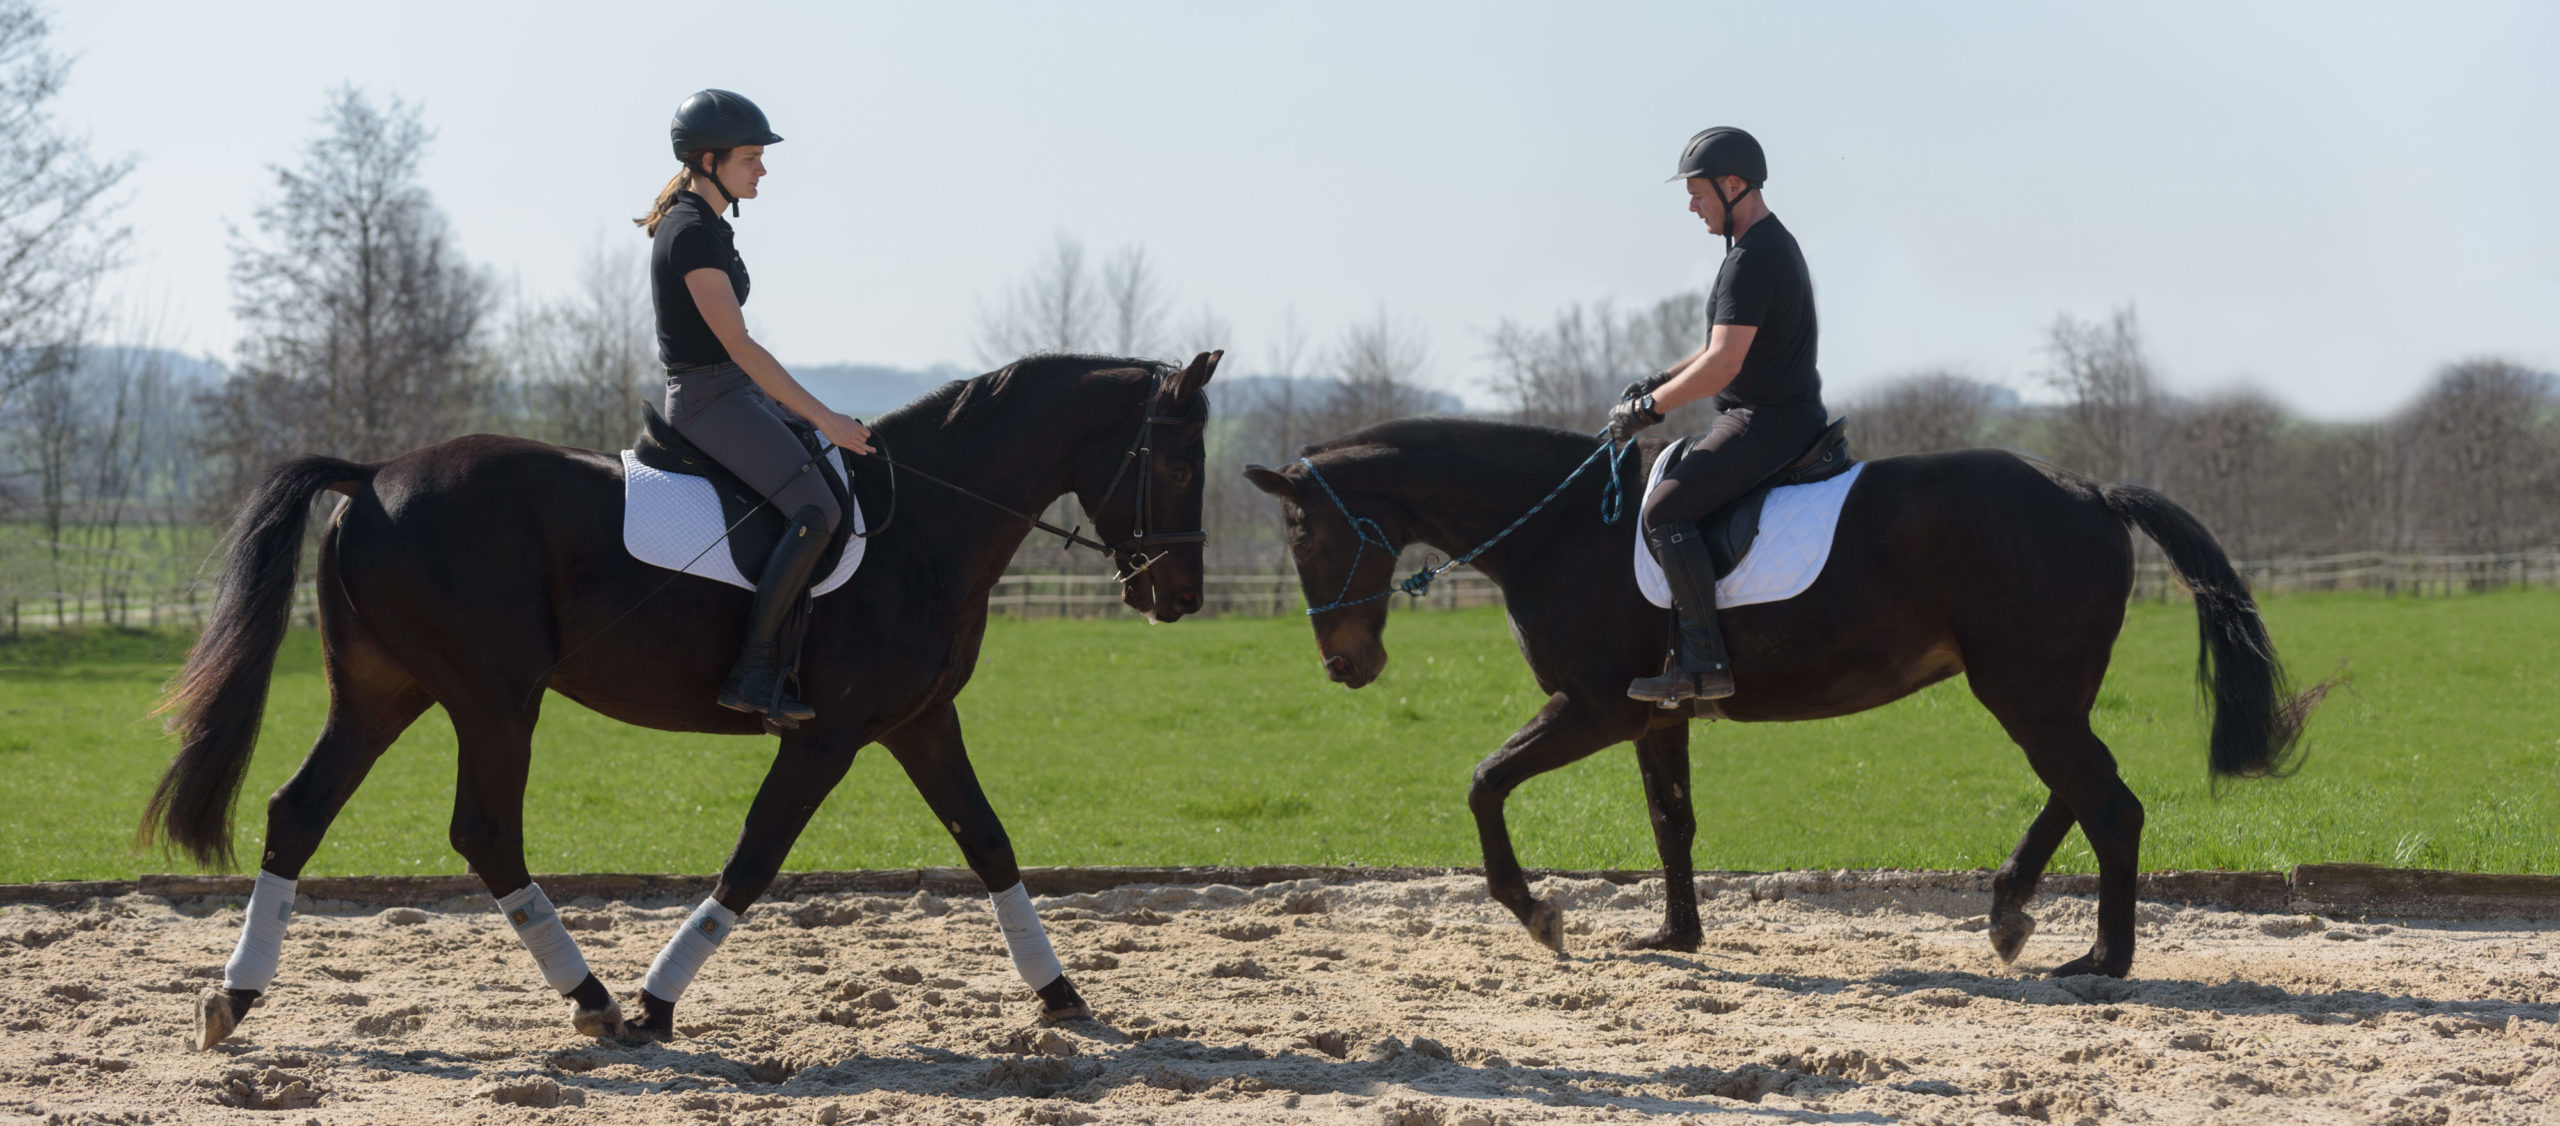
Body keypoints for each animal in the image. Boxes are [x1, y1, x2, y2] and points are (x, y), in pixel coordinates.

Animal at [154, 353, 1223, 1049]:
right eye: (1175, 462)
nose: (1180, 596)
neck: (926, 522)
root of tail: (373, 476)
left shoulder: (919, 722)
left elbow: (990, 843)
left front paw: (1062, 994)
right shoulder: (829, 734)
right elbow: (756, 857)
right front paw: (657, 1003)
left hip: (384, 693)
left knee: (299, 812)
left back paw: (234, 998)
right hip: (494, 699)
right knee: (485, 831)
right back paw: (592, 1000)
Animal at [1249, 417, 2334, 982]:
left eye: (1302, 533)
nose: (1345, 665)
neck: (1561, 530)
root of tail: (2090, 491)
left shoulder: (1594, 706)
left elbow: (1483, 783)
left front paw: (1540, 915)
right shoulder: (1653, 714)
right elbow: (1670, 821)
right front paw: (1675, 936)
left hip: (2023, 690)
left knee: (2108, 802)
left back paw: (2102, 958)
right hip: (2042, 690)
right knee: (2081, 790)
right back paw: (2009, 909)